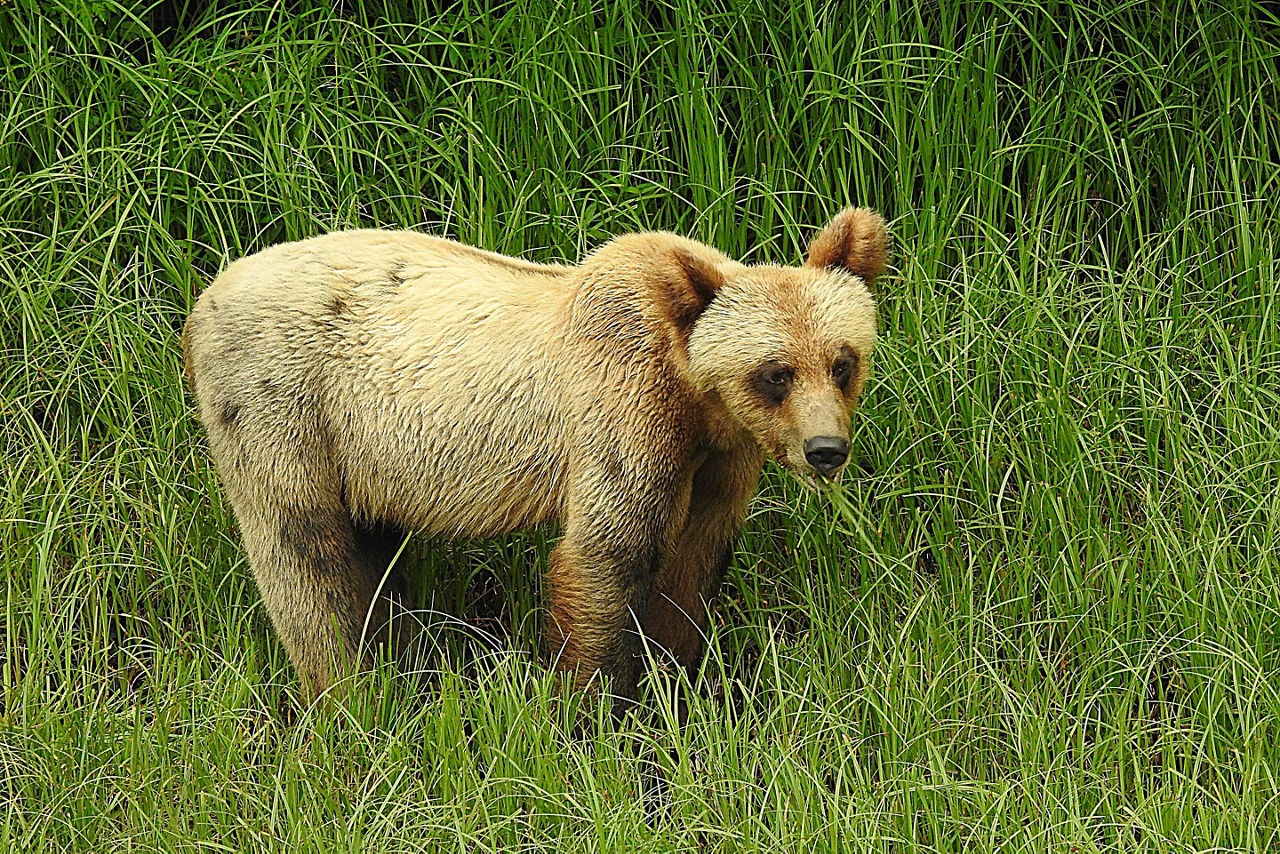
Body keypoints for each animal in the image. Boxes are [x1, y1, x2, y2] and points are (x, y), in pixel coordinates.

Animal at [185, 209, 890, 706]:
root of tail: (206, 293)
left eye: (842, 362)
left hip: (365, 458)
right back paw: (352, 696)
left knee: (372, 557)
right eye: (775, 373)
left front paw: (675, 686)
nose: (826, 450)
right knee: (306, 558)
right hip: (282, 406)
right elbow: (607, 556)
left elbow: (694, 562)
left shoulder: (720, 457)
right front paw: (596, 711)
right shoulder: (623, 406)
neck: (696, 402)